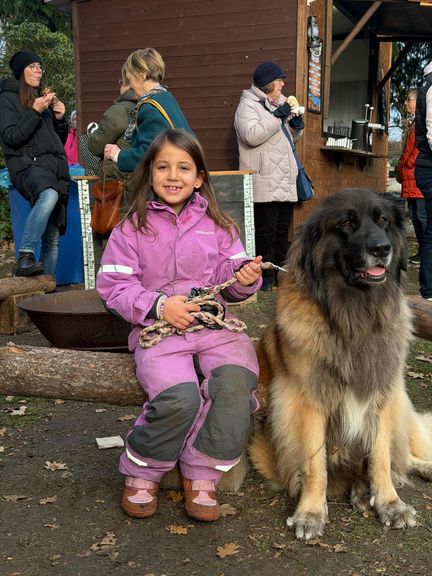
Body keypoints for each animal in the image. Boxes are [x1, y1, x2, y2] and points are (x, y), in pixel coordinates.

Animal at [249, 188, 432, 540]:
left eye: (382, 220)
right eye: (347, 223)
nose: (382, 249)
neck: (354, 316)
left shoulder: (381, 395)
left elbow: (381, 458)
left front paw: (390, 503)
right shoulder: (308, 403)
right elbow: (314, 464)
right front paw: (310, 512)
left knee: (404, 456)